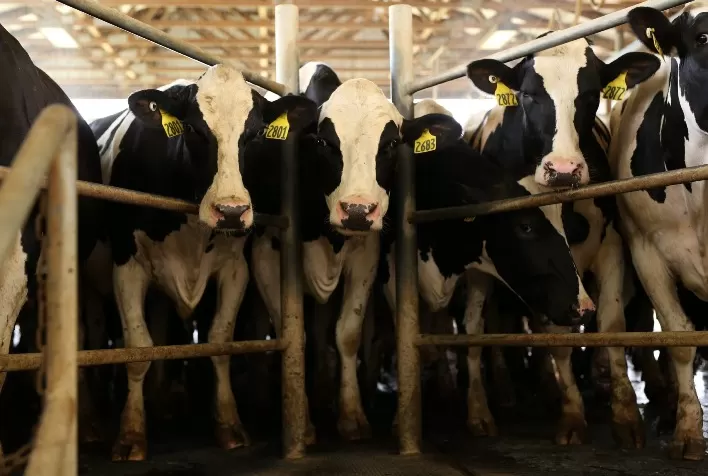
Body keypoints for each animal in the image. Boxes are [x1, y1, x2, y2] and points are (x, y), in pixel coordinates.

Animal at [88, 65, 317, 461]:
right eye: (194, 130)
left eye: (253, 135)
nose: (231, 211)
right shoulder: (127, 265)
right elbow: (139, 347)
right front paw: (131, 435)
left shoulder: (236, 269)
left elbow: (220, 342)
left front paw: (229, 425)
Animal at [248, 63, 462, 442]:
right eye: (324, 142)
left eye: (390, 144)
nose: (358, 211)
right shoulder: (266, 255)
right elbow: (293, 335)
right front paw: (301, 422)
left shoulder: (366, 257)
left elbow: (346, 333)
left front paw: (351, 415)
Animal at [463, 37, 660, 447]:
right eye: (527, 94)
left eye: (591, 94)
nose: (565, 169)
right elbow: (555, 335)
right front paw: (571, 416)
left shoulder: (610, 246)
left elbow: (611, 325)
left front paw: (626, 416)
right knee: (476, 327)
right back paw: (485, 409)